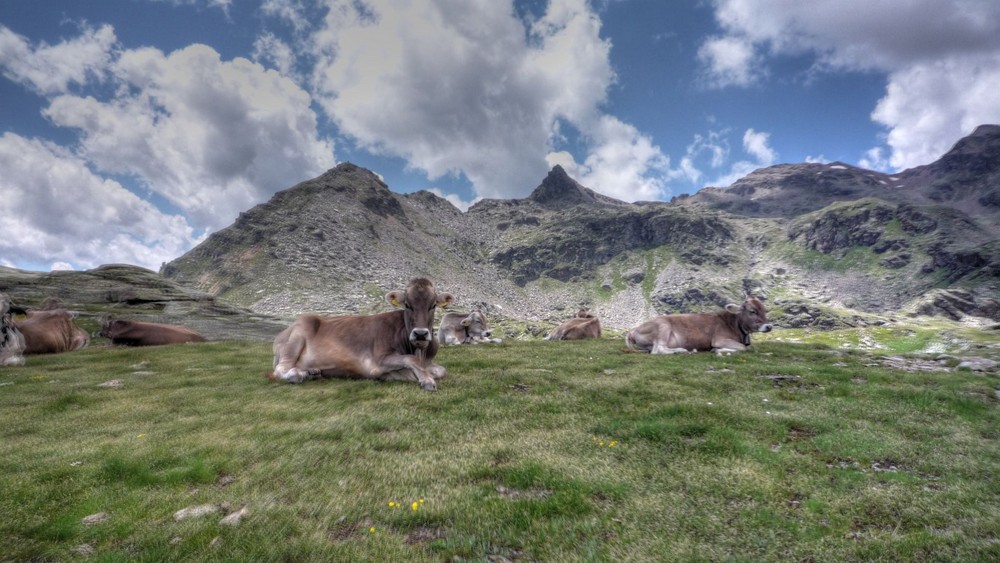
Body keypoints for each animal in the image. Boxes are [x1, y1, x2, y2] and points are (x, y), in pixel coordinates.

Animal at [266, 278, 454, 392]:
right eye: (407, 305)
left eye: (433, 305)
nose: (420, 333)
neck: (420, 351)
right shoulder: (378, 359)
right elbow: (411, 360)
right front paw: (426, 380)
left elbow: (442, 370)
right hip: (299, 332)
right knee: (280, 370)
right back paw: (299, 374)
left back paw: (312, 372)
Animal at [624, 296, 772, 352]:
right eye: (753, 311)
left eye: (765, 310)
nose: (769, 326)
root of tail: (633, 330)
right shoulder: (719, 339)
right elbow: (743, 348)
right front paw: (718, 350)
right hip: (663, 326)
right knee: (658, 350)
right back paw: (682, 351)